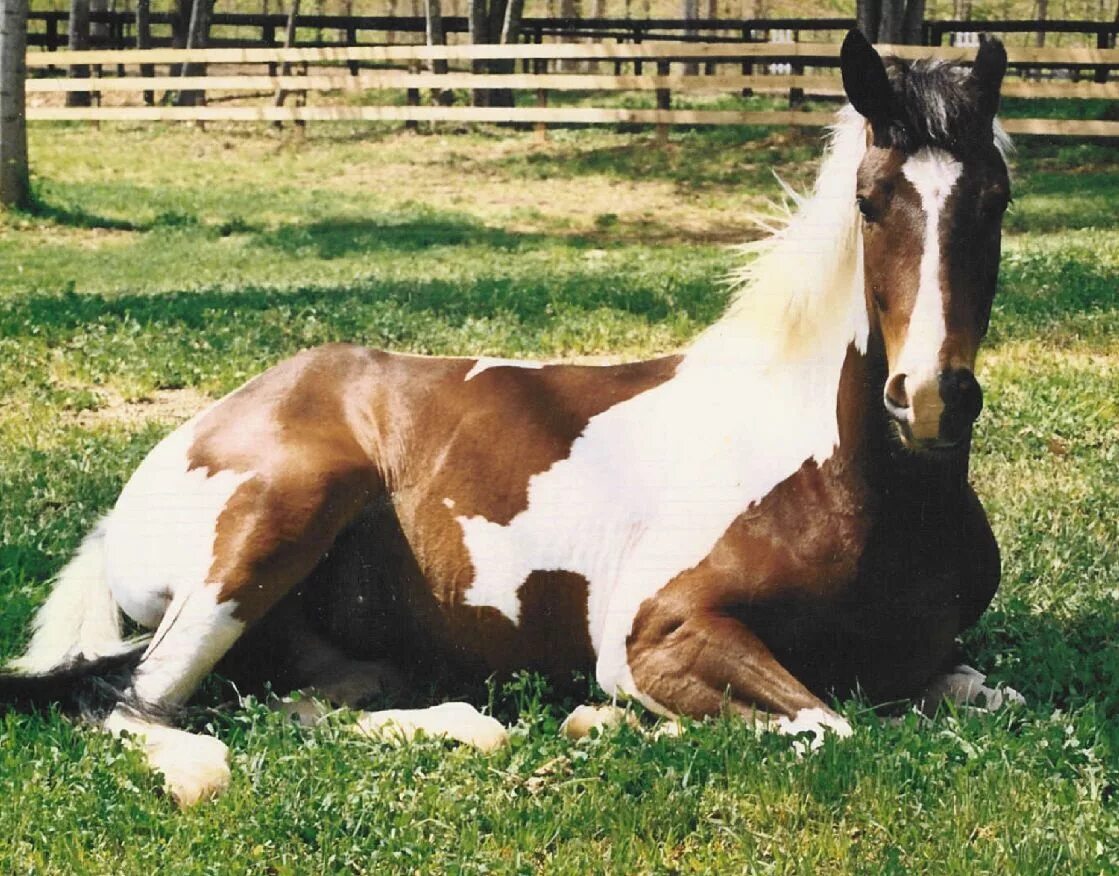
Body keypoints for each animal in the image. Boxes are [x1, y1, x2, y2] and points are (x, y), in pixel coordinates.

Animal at [0, 29, 1025, 809]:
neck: (845, 483)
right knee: (136, 707)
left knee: (302, 707)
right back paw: (201, 773)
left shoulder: (946, 670)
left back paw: (466, 725)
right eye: (869, 203)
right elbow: (827, 723)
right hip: (272, 524)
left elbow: (989, 697)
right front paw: (600, 721)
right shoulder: (658, 637)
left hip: (324, 649)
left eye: (996, 199)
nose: (928, 398)